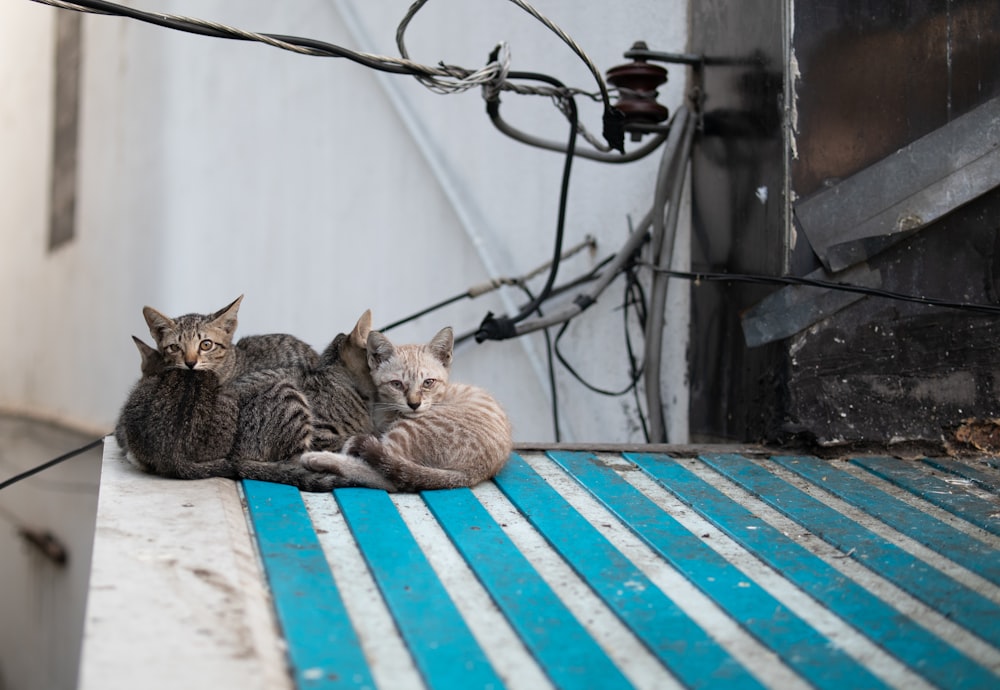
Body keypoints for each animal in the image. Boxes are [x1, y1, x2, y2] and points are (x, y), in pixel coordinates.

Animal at [300, 322, 512, 490]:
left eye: (428, 382)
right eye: (397, 384)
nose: (414, 404)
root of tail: (474, 472)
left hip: (408, 430)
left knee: (388, 477)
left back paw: (320, 458)